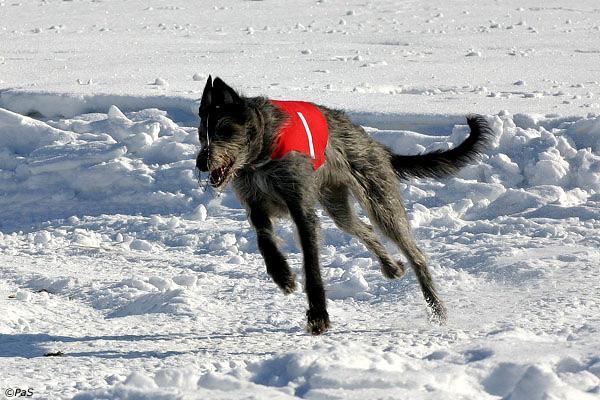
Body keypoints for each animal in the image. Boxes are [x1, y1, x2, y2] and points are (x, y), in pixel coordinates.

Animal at [197, 75, 492, 334]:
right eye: (202, 133)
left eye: (225, 130)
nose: (201, 162)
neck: (262, 152)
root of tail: (376, 145)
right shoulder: (256, 205)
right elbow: (265, 242)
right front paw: (282, 275)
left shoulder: (301, 208)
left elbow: (311, 265)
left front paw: (318, 316)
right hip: (337, 203)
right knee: (364, 229)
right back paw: (392, 267)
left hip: (379, 200)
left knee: (415, 253)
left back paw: (436, 309)